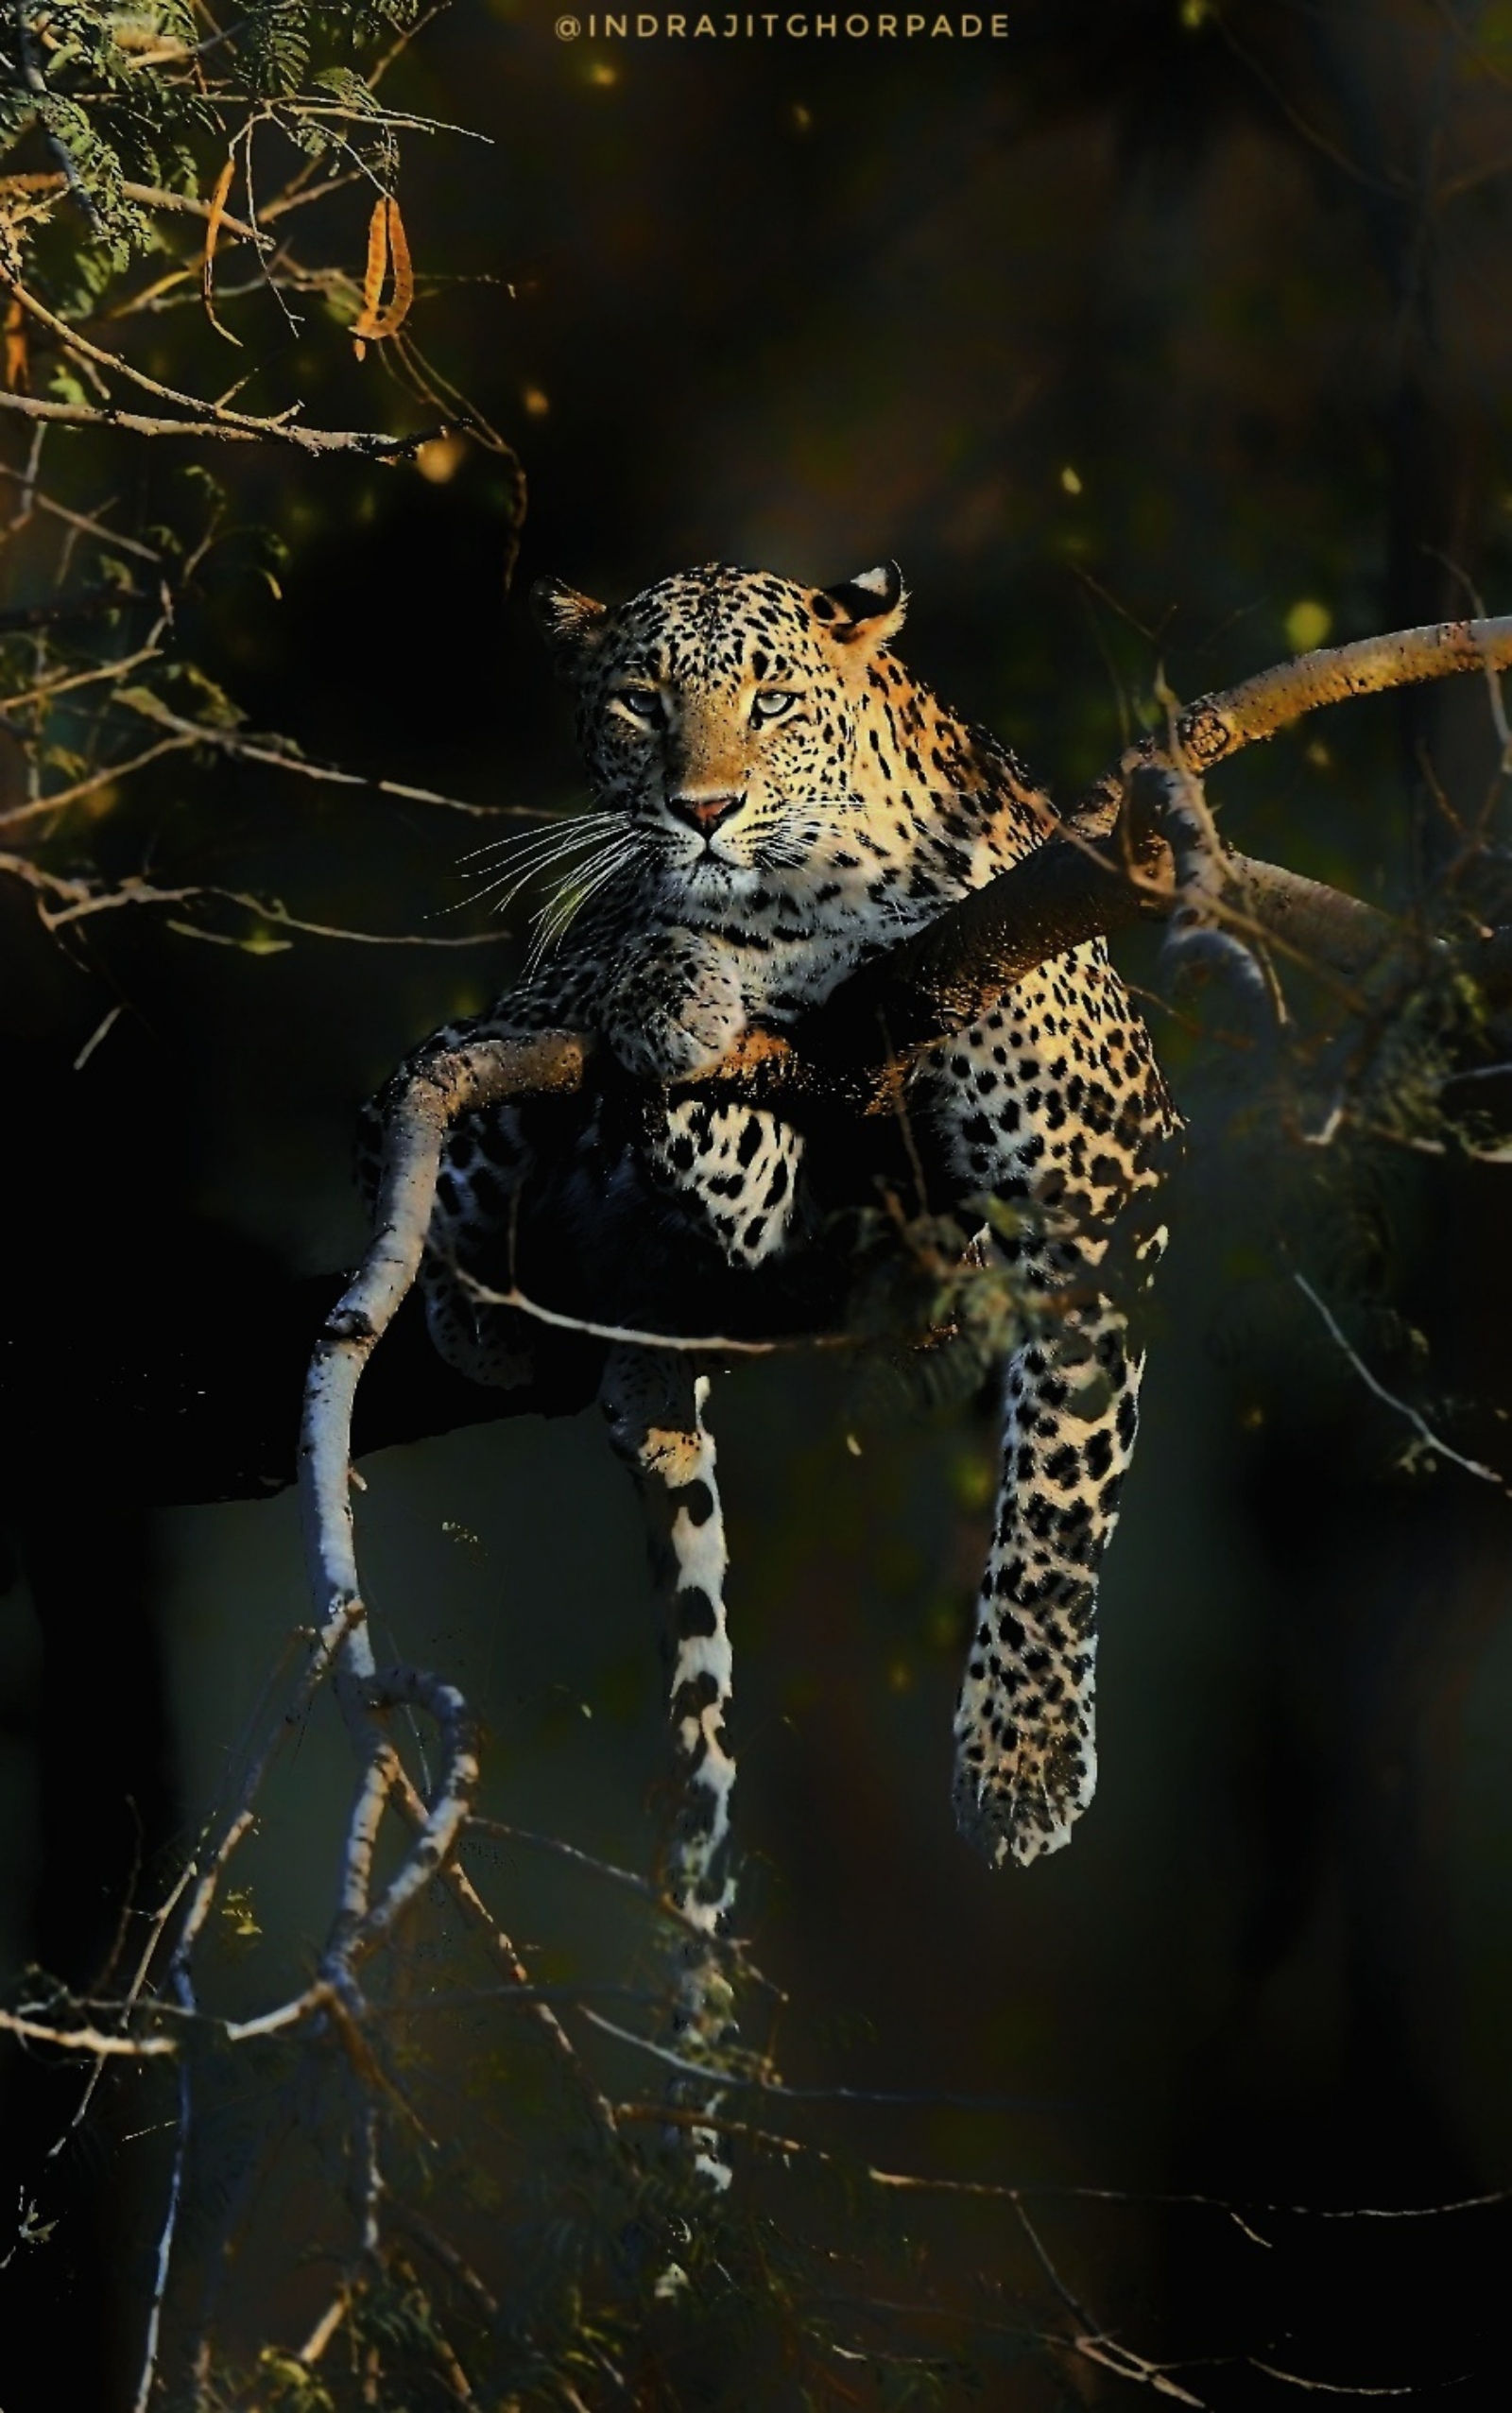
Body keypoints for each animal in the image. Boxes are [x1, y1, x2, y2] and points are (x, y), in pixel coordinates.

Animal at [391, 559, 1178, 1869]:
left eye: (770, 703)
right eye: (641, 702)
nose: (704, 810)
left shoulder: (1102, 1180)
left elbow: (1056, 1501)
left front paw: (1018, 1764)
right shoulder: (591, 990)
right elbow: (613, 968)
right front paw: (673, 986)